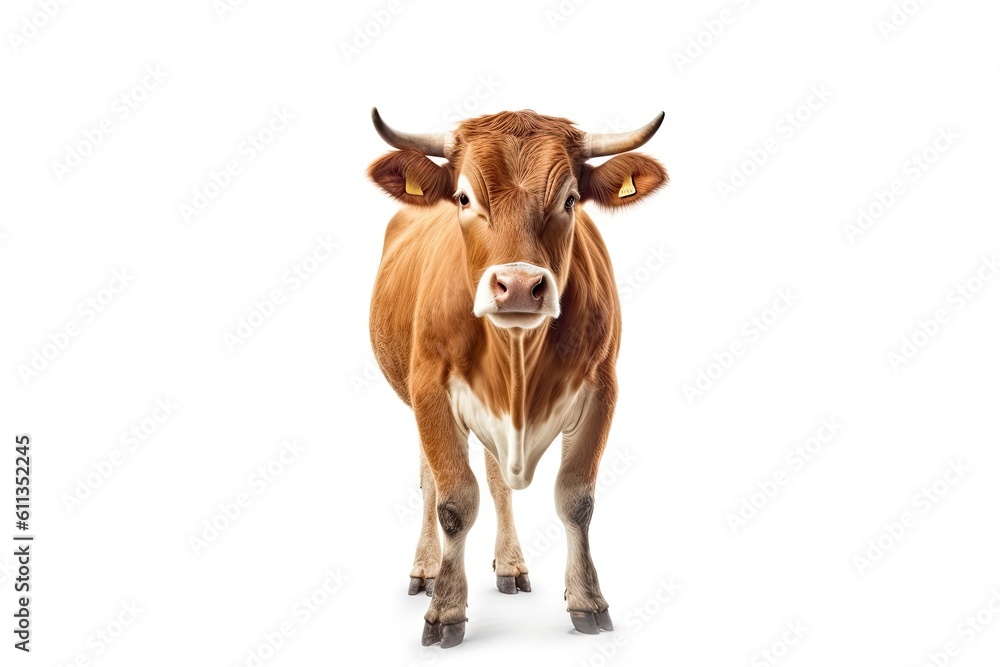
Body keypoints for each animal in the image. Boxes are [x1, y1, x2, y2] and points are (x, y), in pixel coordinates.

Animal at [370, 108, 672, 648]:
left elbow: (576, 498)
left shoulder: (602, 389)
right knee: (430, 483)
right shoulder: (429, 392)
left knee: (497, 480)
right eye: (464, 198)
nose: (516, 287)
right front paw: (446, 610)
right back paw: (426, 570)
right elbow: (453, 500)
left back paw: (511, 565)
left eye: (570, 199)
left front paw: (588, 602)